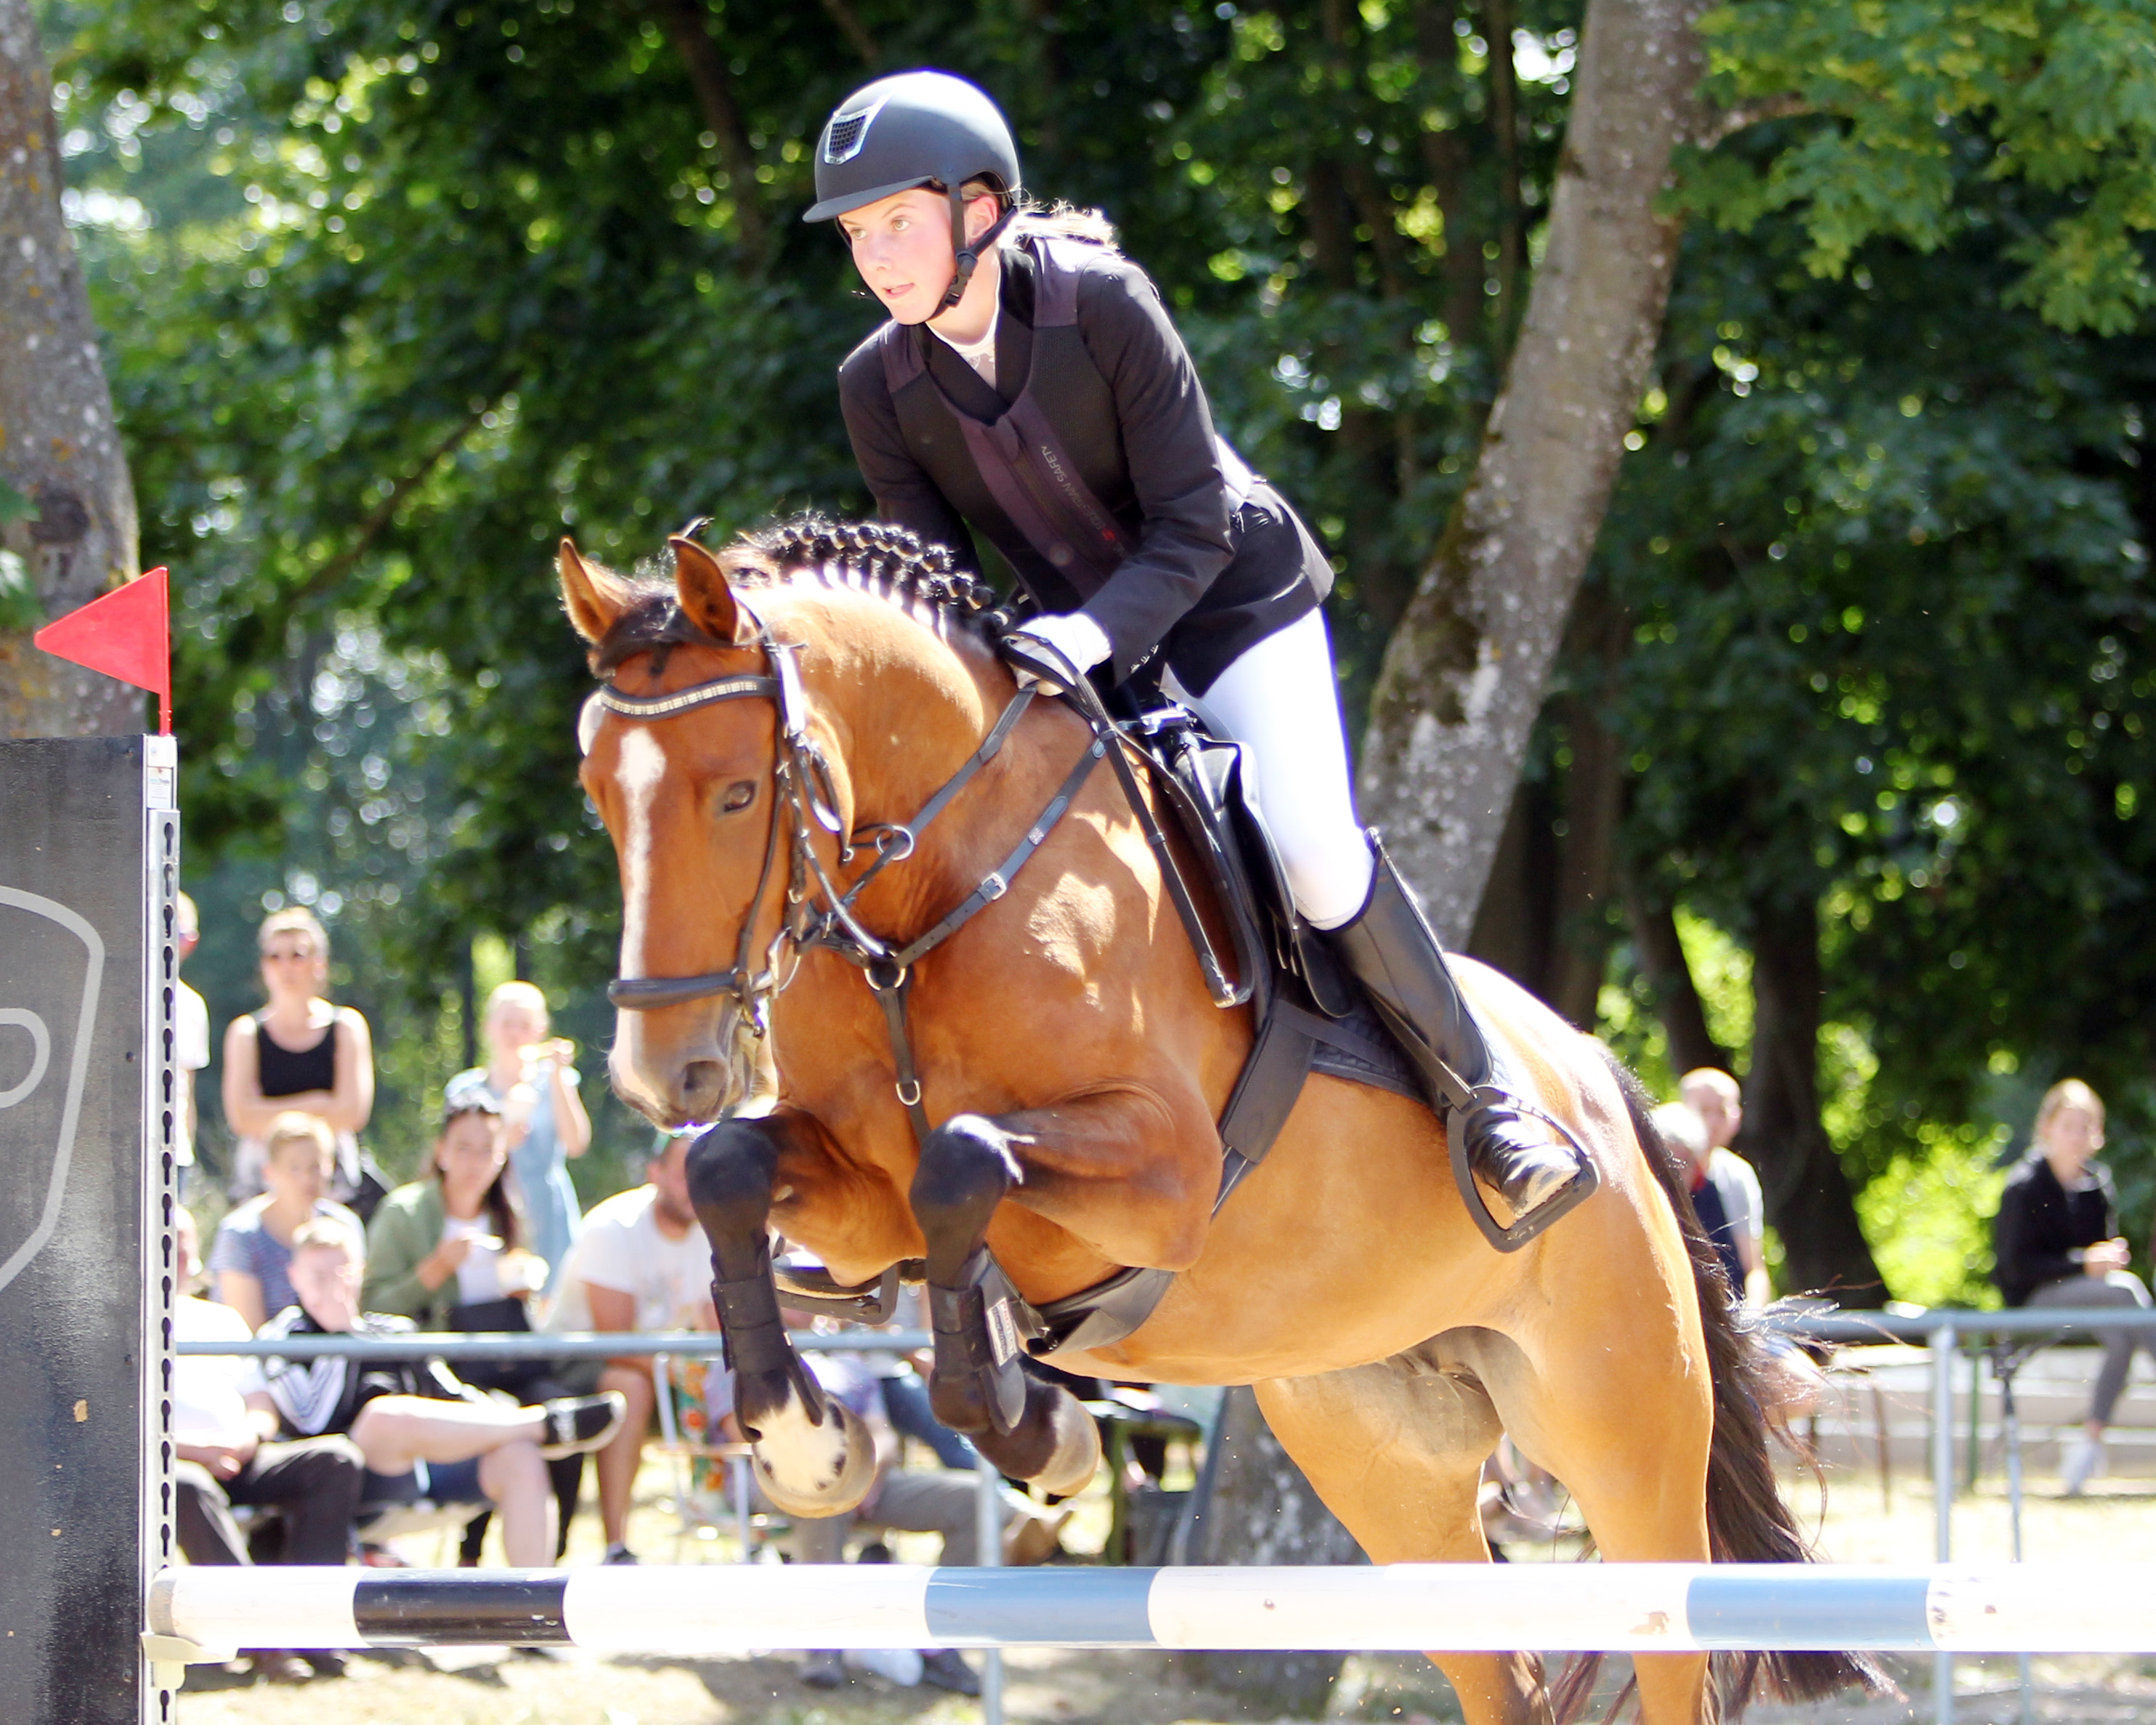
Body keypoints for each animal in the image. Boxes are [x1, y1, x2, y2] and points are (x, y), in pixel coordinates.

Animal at [556, 520, 1871, 1716]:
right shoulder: (856, 1195)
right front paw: (809, 1443)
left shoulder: (1166, 1179)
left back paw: (1515, 1151)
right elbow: (736, 1170)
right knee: (1502, 1671)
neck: (925, 906)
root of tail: (1601, 1076)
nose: (662, 1074)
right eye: (599, 800)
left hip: (1624, 1433)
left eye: (736, 792)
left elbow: (963, 1162)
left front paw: (1037, 1429)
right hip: (1385, 1450)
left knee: (1672, 1645)